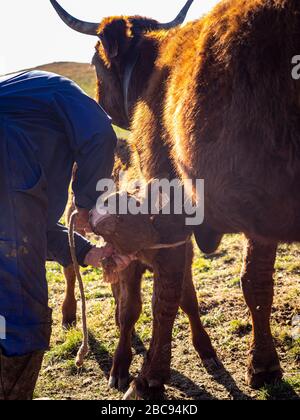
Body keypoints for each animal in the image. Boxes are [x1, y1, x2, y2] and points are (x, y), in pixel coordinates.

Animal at [51, 0, 300, 398]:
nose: (99, 107)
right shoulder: (259, 216)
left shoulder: (172, 212)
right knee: (74, 269)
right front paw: (264, 367)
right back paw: (71, 314)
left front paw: (148, 378)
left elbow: (166, 297)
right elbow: (256, 282)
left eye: (93, 62)